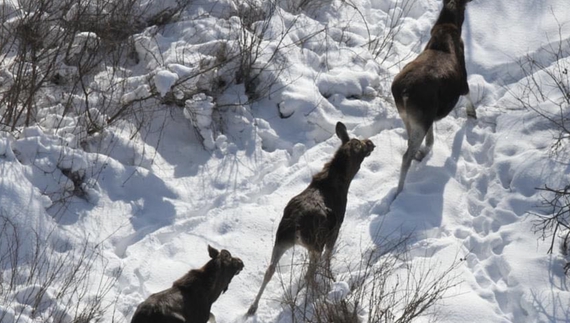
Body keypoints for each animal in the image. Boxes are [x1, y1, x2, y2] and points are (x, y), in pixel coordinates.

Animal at [245, 122, 372, 316]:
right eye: (362, 145)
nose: (371, 143)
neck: (344, 181)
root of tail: (295, 226)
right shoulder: (336, 228)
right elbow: (328, 257)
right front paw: (330, 277)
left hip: (280, 240)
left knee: (270, 270)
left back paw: (252, 307)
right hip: (315, 244)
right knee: (309, 274)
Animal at [390, 0, 474, 197]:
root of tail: (404, 93)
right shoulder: (463, 80)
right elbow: (469, 93)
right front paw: (472, 114)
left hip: (409, 115)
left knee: (411, 142)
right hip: (422, 115)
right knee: (406, 156)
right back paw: (399, 192)